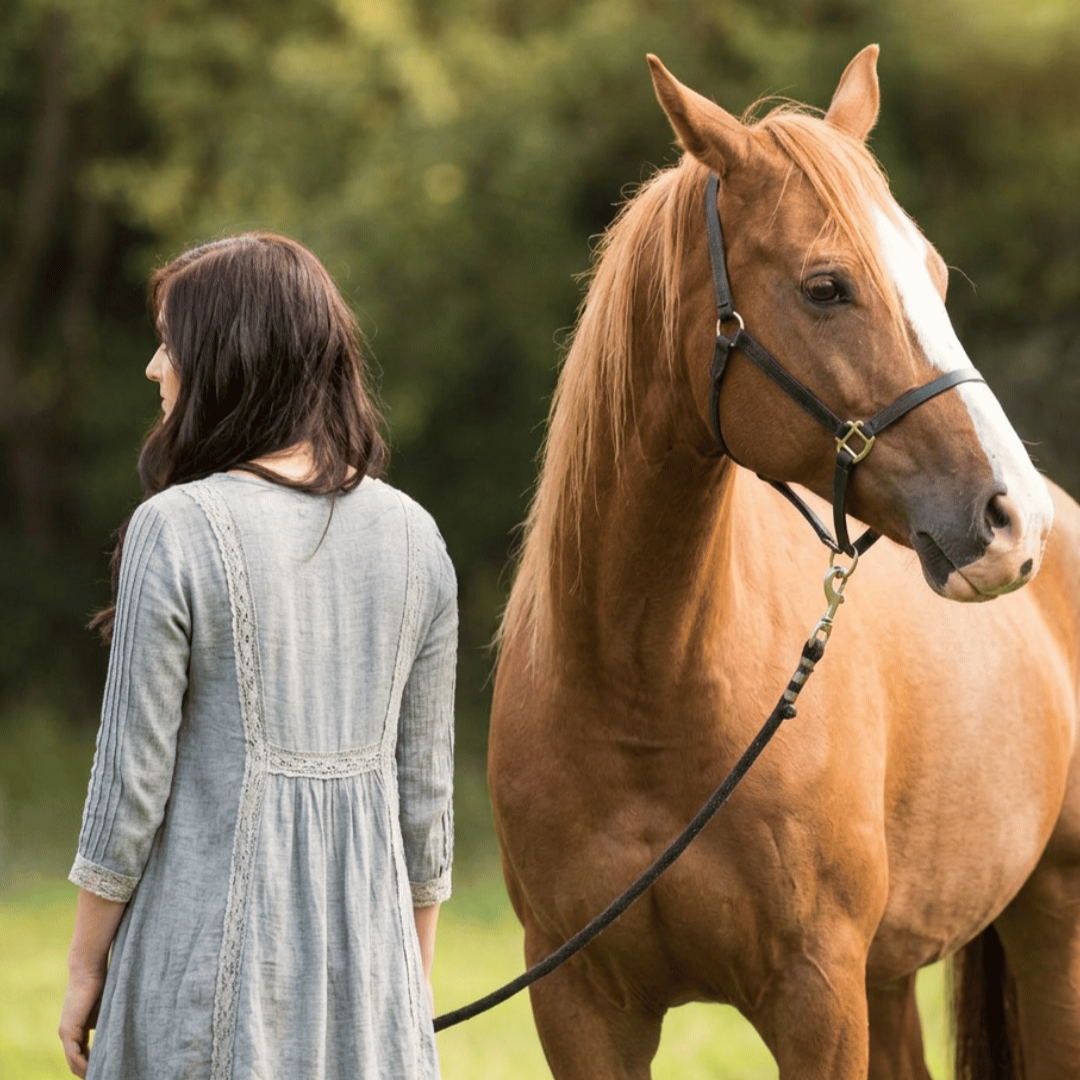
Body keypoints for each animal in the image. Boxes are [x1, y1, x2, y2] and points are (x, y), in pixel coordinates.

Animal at [487, 45, 1080, 1080]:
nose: (1013, 520)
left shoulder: (816, 999)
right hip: (895, 977)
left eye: (933, 272)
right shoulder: (579, 1006)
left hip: (1056, 933)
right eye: (826, 287)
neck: (643, 692)